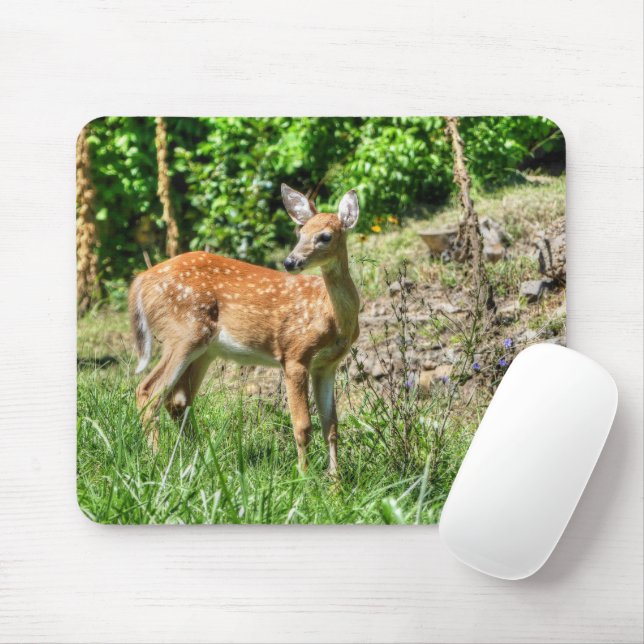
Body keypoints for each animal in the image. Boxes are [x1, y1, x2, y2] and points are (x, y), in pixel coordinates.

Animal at [128, 184, 360, 475]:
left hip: (204, 350)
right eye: (301, 232)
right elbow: (303, 426)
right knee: (149, 391)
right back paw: (158, 460)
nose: (290, 262)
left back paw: (198, 457)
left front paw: (334, 481)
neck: (330, 316)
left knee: (178, 399)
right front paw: (305, 478)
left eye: (325, 236)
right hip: (183, 332)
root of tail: (140, 281)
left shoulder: (327, 365)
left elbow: (331, 426)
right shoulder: (294, 354)